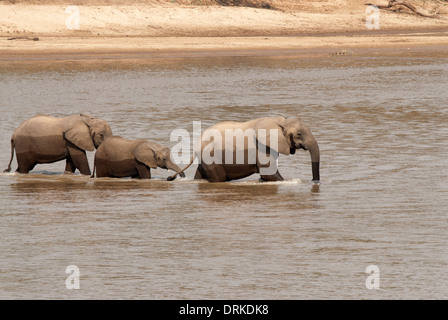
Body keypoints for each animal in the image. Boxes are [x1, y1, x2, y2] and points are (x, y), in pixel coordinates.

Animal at [167, 115, 318, 182]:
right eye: (299, 134)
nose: (314, 181)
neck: (280, 121)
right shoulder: (262, 147)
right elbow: (269, 173)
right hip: (211, 155)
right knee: (219, 178)